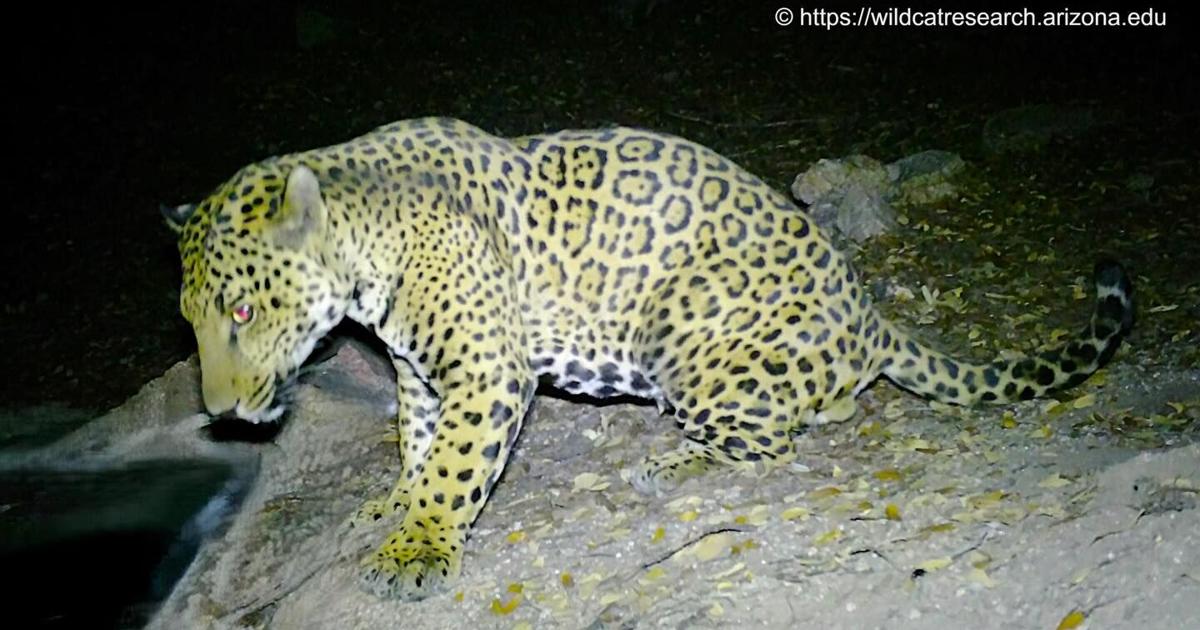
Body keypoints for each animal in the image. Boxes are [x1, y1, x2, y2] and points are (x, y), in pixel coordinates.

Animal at [163, 117, 1133, 601]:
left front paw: (418, 551)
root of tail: (870, 314)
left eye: (243, 310)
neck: (366, 253)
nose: (221, 413)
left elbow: (455, 467)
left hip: (688, 346)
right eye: (191, 321)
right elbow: (417, 445)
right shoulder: (421, 372)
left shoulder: (486, 370)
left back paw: (673, 462)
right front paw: (397, 509)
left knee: (777, 436)